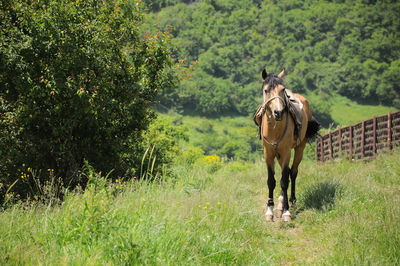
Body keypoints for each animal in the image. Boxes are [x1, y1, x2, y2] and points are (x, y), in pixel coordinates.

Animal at [256, 68, 318, 222]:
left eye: (282, 89)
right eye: (266, 90)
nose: (278, 112)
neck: (275, 129)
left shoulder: (286, 153)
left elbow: (284, 180)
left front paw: (286, 212)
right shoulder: (268, 154)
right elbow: (271, 181)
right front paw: (270, 211)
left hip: (299, 149)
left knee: (293, 173)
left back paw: (291, 202)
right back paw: (280, 203)